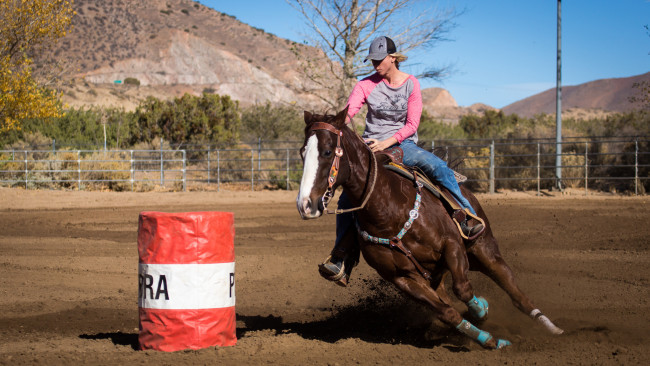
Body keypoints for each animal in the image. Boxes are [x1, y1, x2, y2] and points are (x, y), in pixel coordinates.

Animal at [294, 108, 560, 348]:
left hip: (483, 250)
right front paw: (489, 339)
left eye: (328, 151)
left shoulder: (452, 246)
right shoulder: (402, 278)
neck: (389, 208)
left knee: (513, 289)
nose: (305, 204)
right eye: (302, 152)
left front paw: (482, 310)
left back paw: (552, 327)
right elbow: (448, 312)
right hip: (436, 275)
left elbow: (463, 289)